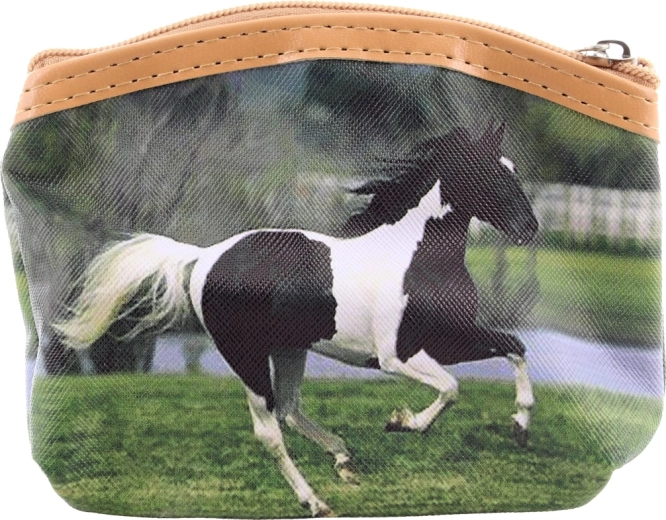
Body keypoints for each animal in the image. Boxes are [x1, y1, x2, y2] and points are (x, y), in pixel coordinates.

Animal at [55, 122, 538, 517]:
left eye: (513, 169)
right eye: (493, 173)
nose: (530, 228)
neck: (413, 258)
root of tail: (205, 256)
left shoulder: (448, 340)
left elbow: (514, 347)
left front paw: (520, 427)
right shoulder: (396, 355)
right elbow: (452, 388)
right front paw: (401, 422)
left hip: (289, 349)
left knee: (289, 409)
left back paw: (345, 460)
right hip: (246, 357)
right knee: (269, 430)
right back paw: (316, 501)